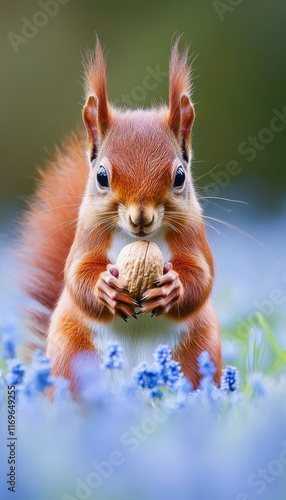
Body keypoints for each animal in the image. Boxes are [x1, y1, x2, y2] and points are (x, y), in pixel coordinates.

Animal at [20, 40, 222, 390]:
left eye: (179, 176)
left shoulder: (193, 233)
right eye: (102, 176)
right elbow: (76, 274)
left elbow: (201, 275)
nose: (141, 218)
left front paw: (172, 288)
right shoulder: (87, 235)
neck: (138, 240)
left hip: (200, 354)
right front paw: (105, 289)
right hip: (71, 356)